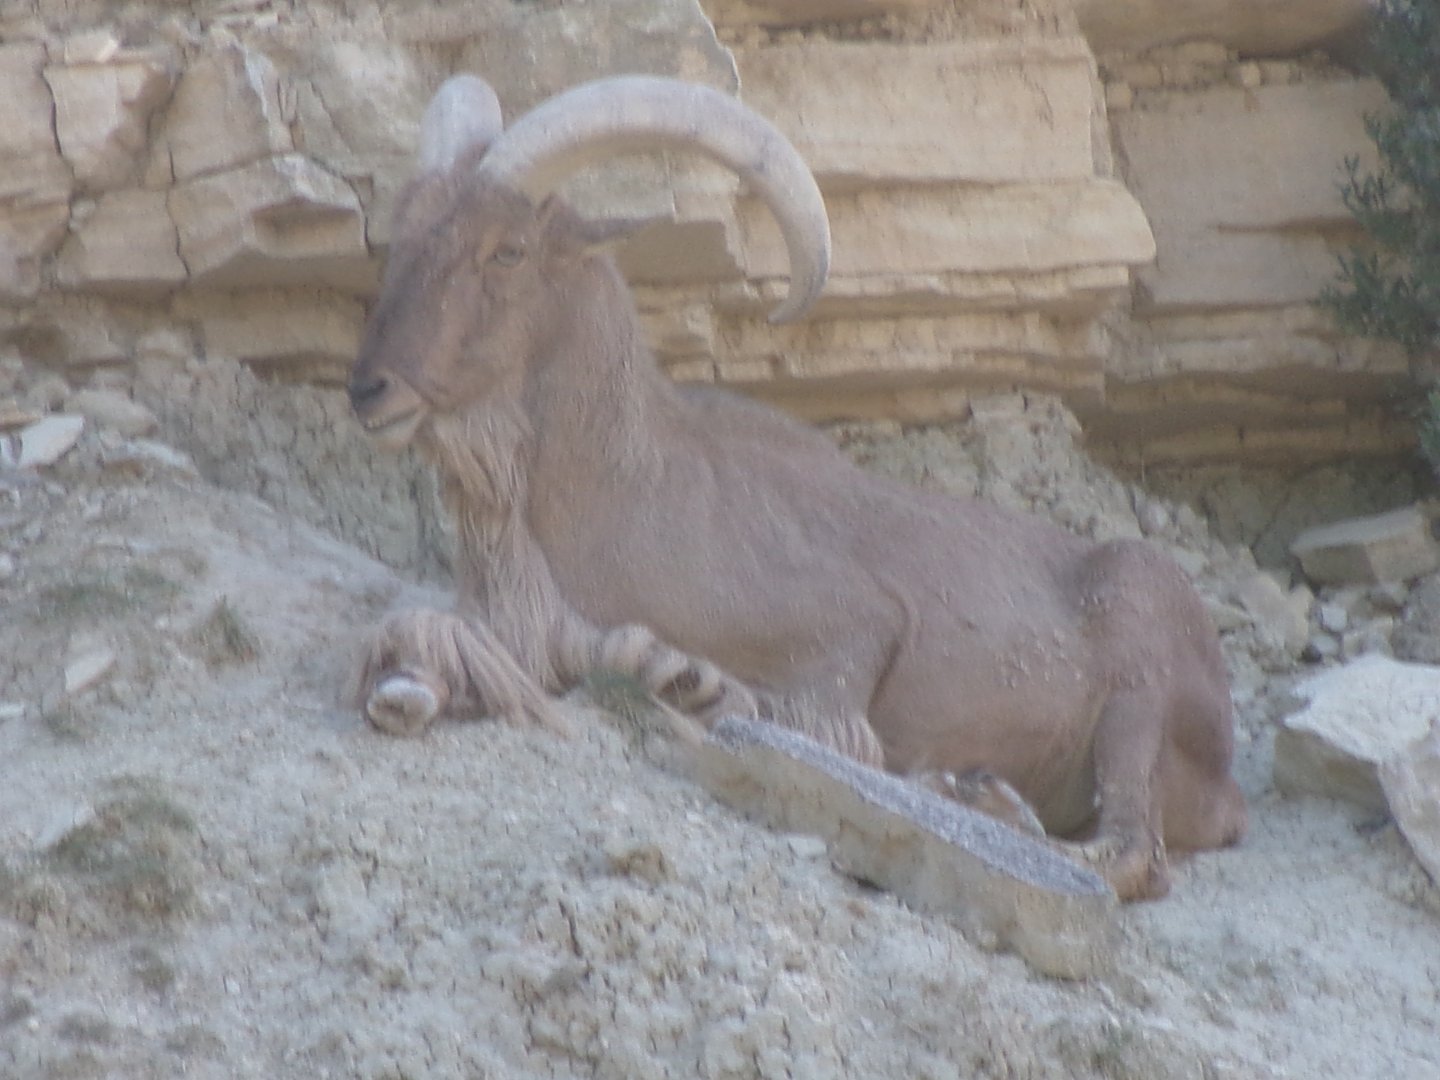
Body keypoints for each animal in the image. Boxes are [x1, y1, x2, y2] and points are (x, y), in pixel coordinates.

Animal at [346, 73, 1247, 900]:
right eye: (404, 237)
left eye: (507, 249)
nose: (370, 390)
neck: (625, 492)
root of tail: (1227, 785)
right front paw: (409, 690)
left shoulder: (853, 629)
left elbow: (801, 717)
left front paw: (690, 679)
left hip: (1138, 685)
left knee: (1131, 853)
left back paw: (985, 800)